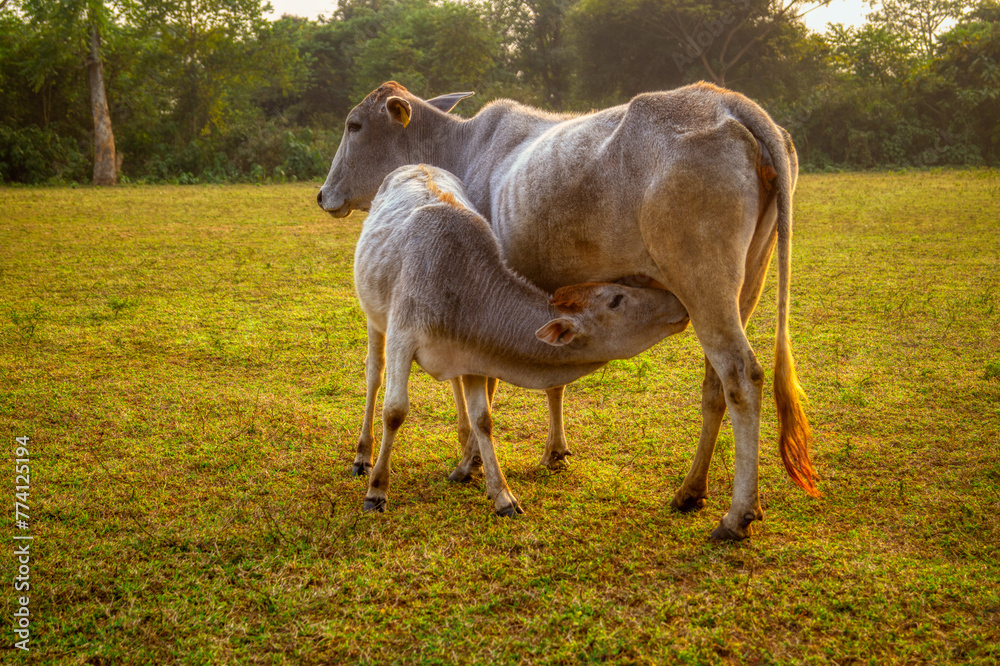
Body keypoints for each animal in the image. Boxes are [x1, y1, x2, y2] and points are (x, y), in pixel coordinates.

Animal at [319, 81, 819, 541]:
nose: (323, 195)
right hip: (745, 286)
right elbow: (550, 384)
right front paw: (553, 450)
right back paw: (690, 491)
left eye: (354, 125)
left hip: (704, 285)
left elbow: (478, 384)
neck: (458, 148)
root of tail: (729, 102)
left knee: (742, 377)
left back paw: (737, 515)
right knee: (715, 385)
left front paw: (470, 462)